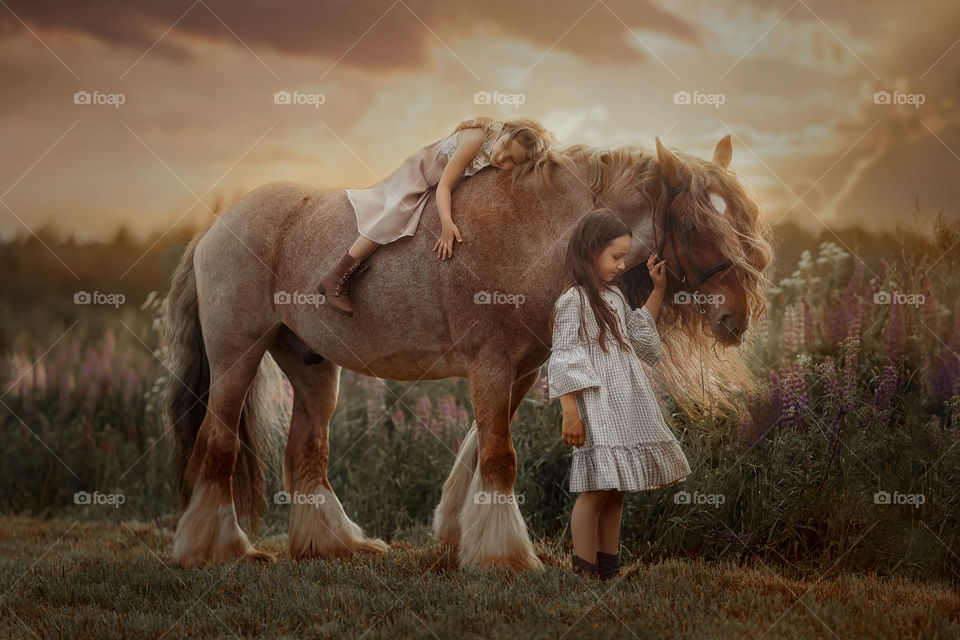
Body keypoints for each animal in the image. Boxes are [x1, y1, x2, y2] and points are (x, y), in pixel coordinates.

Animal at [165, 134, 776, 568]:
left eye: (746, 219)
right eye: (694, 224)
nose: (737, 318)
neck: (537, 233)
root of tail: (213, 228)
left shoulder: (523, 370)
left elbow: (480, 450)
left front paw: (462, 534)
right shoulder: (492, 364)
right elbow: (500, 457)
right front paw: (506, 555)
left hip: (313, 368)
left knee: (307, 453)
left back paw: (333, 546)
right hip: (237, 357)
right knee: (218, 443)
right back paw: (215, 549)